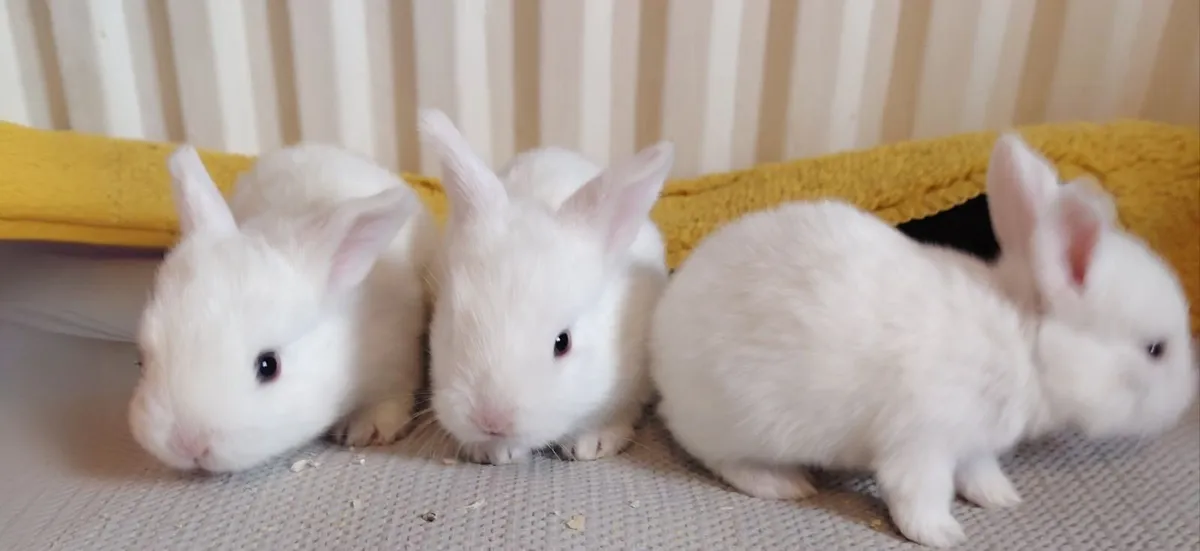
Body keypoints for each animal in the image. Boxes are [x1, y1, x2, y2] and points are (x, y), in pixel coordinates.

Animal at [128, 143, 437, 473]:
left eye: (269, 366)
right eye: (141, 361)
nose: (187, 445)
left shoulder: (395, 357)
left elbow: (389, 398)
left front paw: (368, 429)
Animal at [648, 133, 1198, 548]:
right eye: (1156, 349)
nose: (1185, 402)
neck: (1025, 345)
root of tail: (663, 333)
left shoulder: (973, 444)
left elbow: (978, 471)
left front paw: (1002, 497)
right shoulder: (923, 441)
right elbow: (919, 492)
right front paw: (943, 534)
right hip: (741, 419)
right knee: (717, 455)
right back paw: (782, 484)